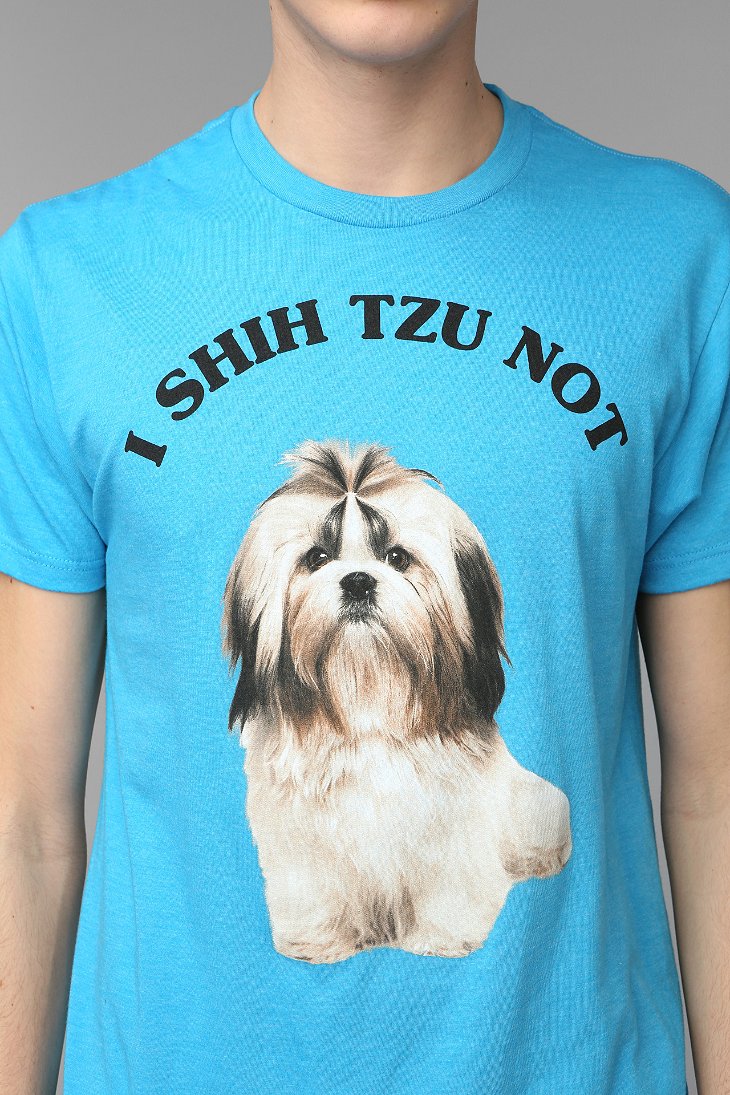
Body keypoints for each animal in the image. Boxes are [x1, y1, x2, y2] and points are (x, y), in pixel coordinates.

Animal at [221, 440, 571, 963]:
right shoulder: (302, 844)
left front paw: (442, 937)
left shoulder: (453, 834)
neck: (369, 705)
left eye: (397, 557)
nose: (358, 581)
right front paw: (319, 940)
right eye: (317, 557)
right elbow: (315, 889)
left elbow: (450, 884)